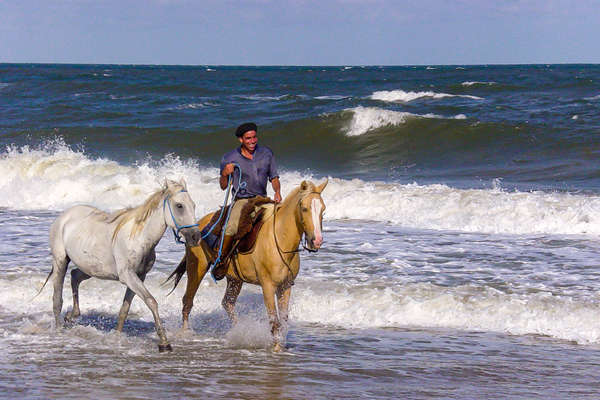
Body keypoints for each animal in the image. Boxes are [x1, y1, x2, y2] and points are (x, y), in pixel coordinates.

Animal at [44, 180, 203, 352]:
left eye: (193, 205)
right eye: (179, 205)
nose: (196, 237)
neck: (139, 237)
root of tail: (64, 216)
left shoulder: (139, 276)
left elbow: (125, 309)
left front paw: (117, 336)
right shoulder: (128, 276)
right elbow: (151, 301)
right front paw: (164, 342)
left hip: (91, 268)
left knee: (75, 276)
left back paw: (71, 315)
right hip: (60, 262)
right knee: (57, 299)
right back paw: (59, 329)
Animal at [166, 180, 328, 352]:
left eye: (323, 210)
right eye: (304, 208)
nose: (317, 241)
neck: (280, 238)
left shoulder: (285, 286)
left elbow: (283, 321)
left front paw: (281, 345)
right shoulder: (268, 286)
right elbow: (274, 321)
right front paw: (276, 348)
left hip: (234, 279)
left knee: (227, 303)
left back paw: (237, 330)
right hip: (196, 267)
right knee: (188, 300)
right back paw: (186, 333)